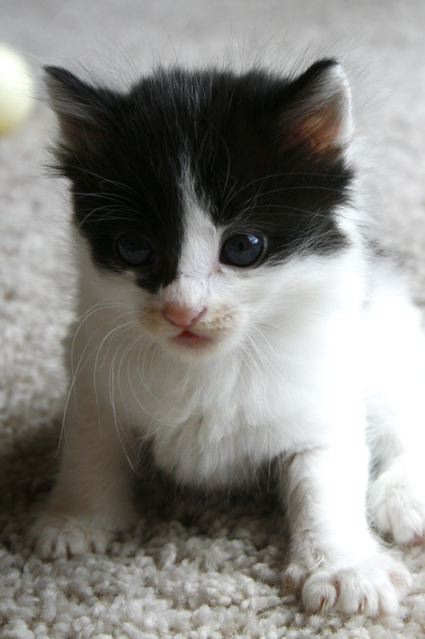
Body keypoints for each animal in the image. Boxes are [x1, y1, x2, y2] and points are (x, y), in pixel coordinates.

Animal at [29, 58, 424, 616]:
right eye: (133, 248)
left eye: (243, 247)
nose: (183, 310)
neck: (212, 364)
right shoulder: (92, 367)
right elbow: (90, 444)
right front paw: (76, 518)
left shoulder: (324, 395)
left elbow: (326, 484)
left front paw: (344, 567)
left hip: (385, 337)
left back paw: (405, 496)